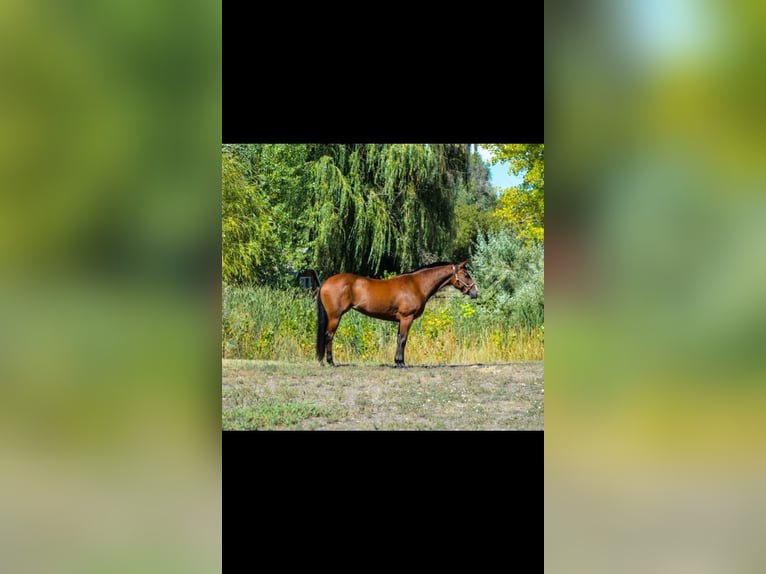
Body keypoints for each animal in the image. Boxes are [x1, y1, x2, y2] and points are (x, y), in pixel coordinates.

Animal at [315, 261, 478, 368]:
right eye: (466, 275)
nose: (475, 292)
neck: (417, 284)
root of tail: (325, 283)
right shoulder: (407, 318)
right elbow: (403, 339)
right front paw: (401, 363)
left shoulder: (401, 320)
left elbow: (398, 339)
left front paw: (398, 361)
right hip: (335, 316)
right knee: (329, 336)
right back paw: (329, 362)